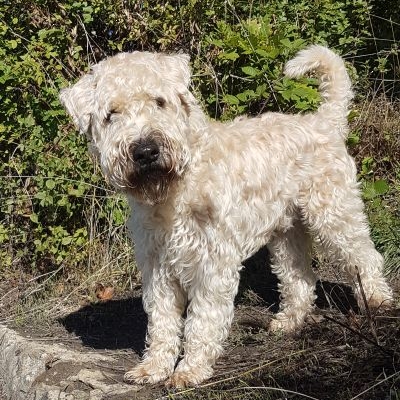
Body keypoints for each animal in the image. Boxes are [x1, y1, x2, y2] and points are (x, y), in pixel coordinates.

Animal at [60, 46, 394, 388]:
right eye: (111, 114)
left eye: (159, 101)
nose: (146, 150)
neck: (176, 190)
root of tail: (324, 121)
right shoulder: (158, 267)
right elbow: (162, 322)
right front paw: (152, 367)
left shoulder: (211, 263)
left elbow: (202, 320)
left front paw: (190, 369)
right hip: (287, 233)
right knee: (299, 278)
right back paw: (288, 322)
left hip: (334, 214)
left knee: (365, 257)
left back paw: (378, 302)